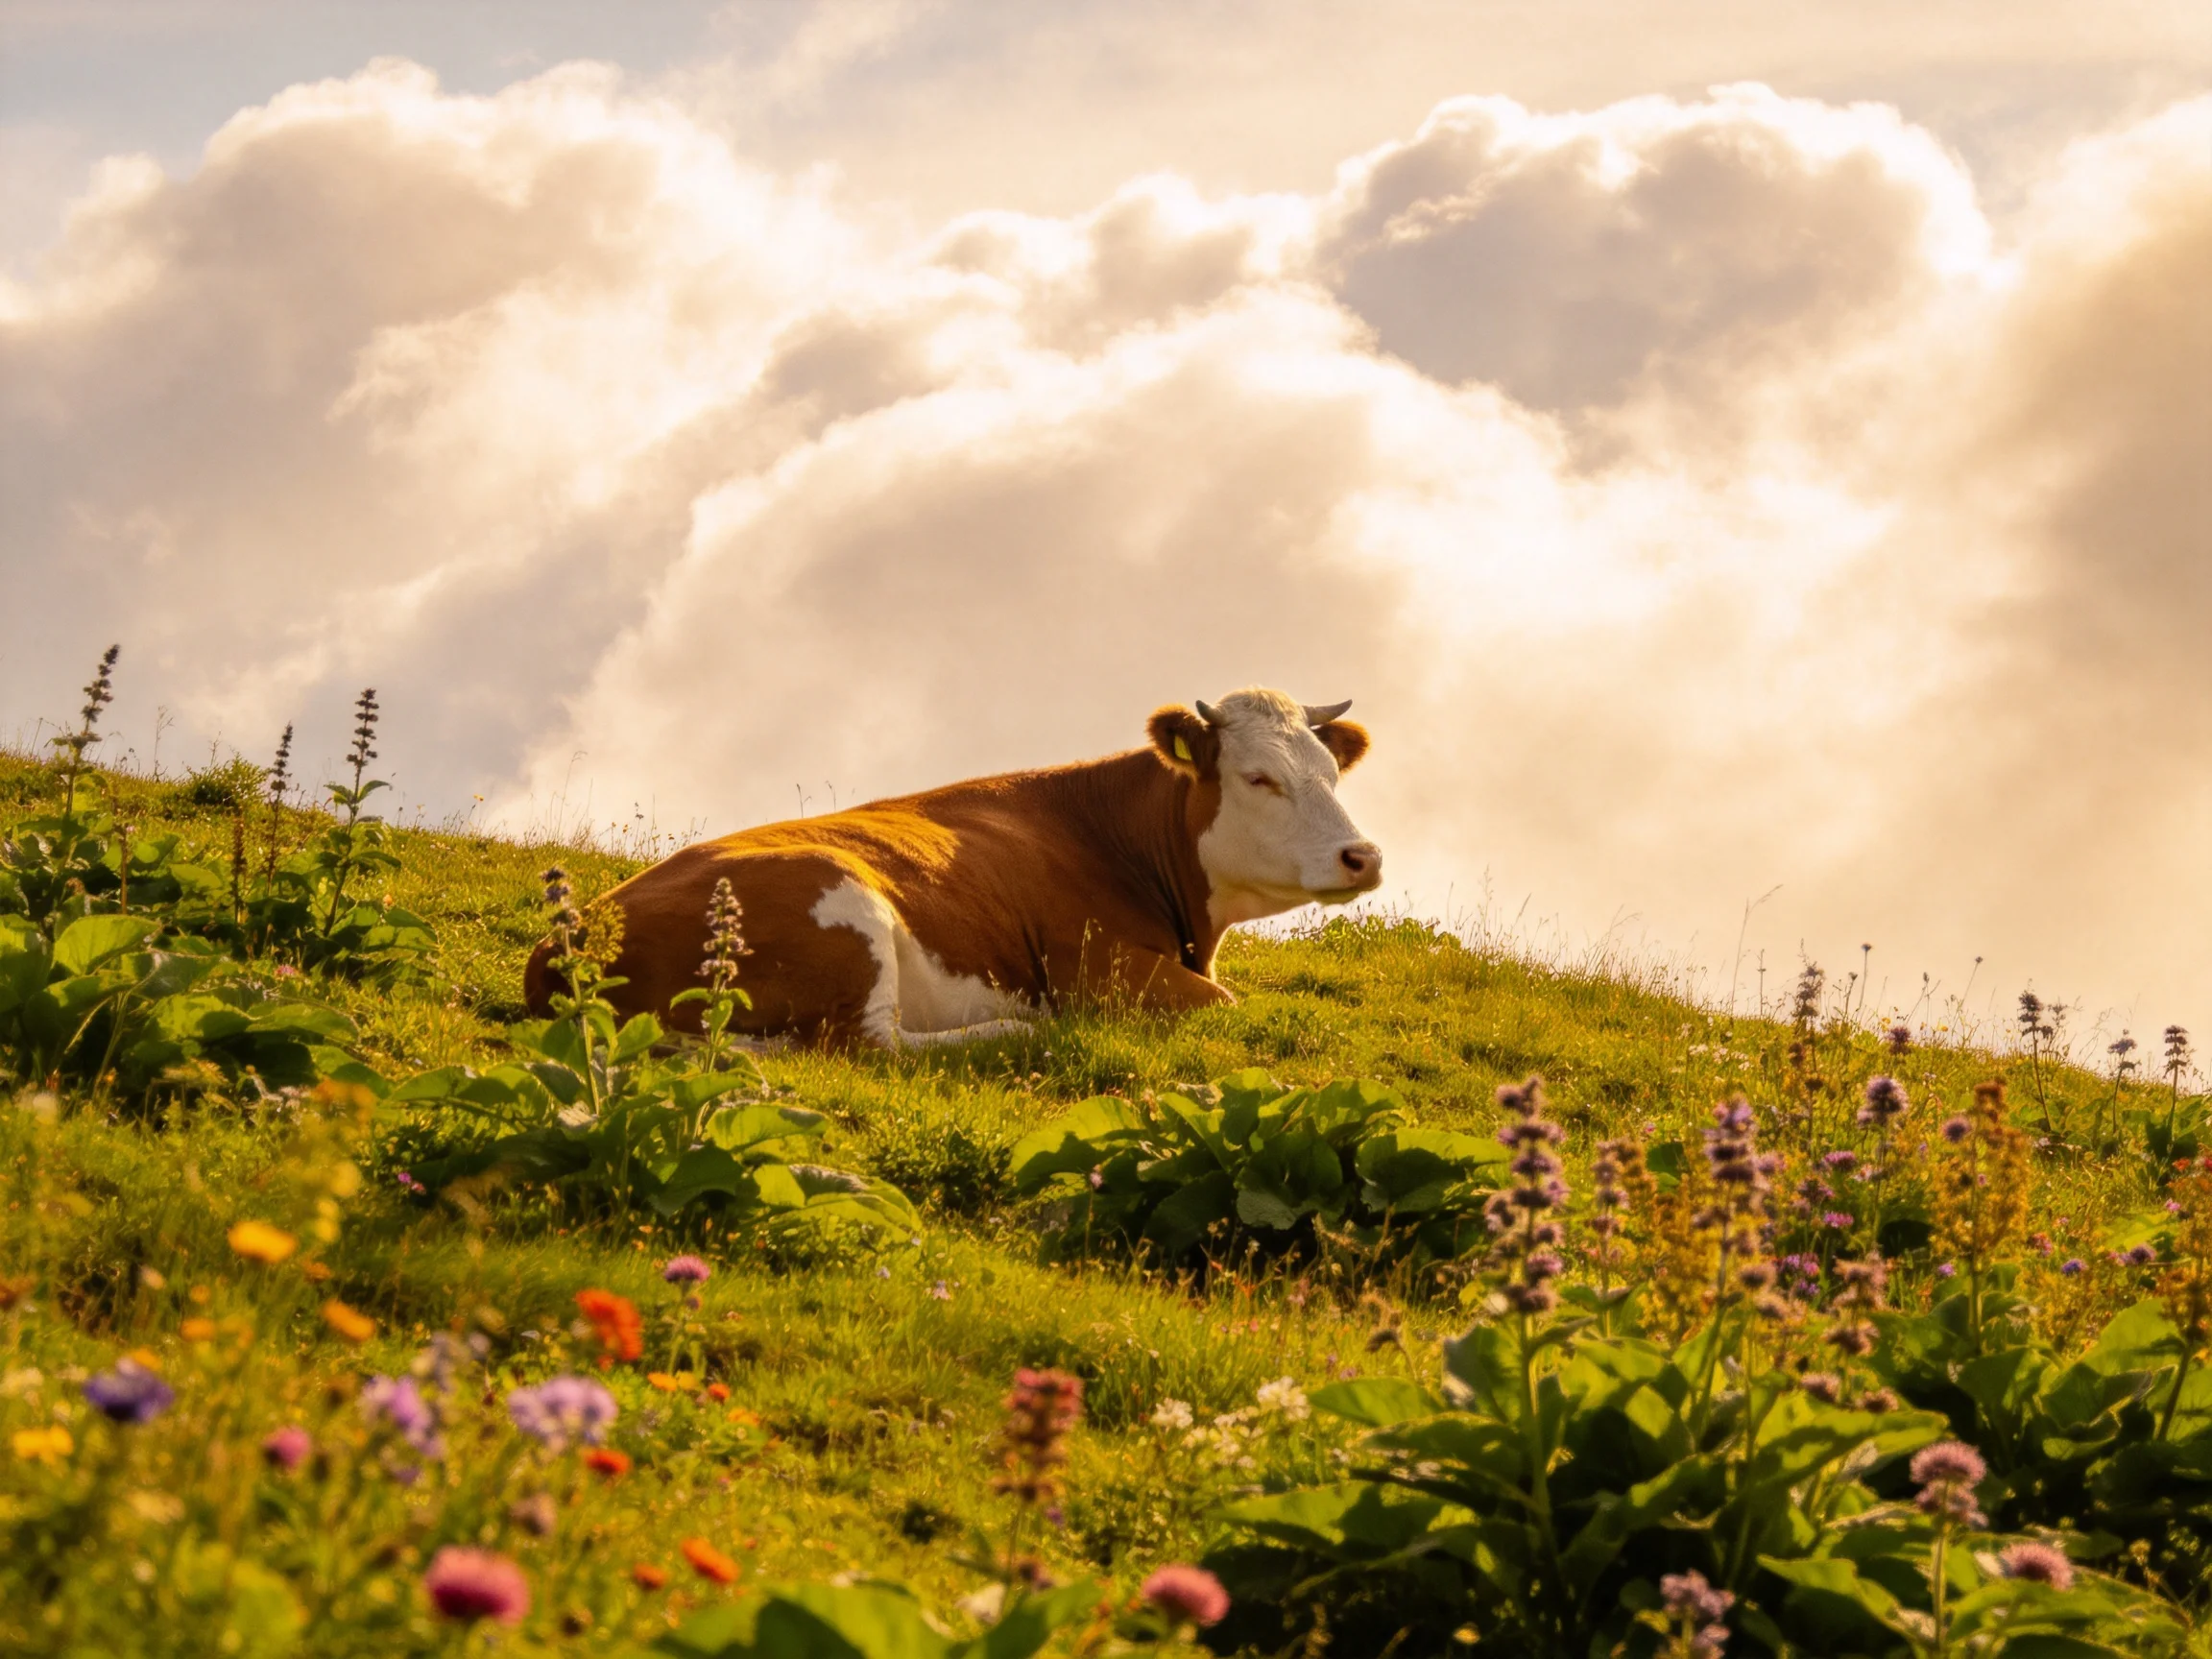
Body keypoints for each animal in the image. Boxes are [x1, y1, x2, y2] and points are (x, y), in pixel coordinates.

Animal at [523, 687, 1382, 1047]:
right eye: (1259, 779)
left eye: (1330, 774)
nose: (1363, 856)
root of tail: (565, 941)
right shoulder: (1104, 970)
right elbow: (1229, 1003)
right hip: (848, 916)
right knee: (868, 1046)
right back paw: (1016, 1027)